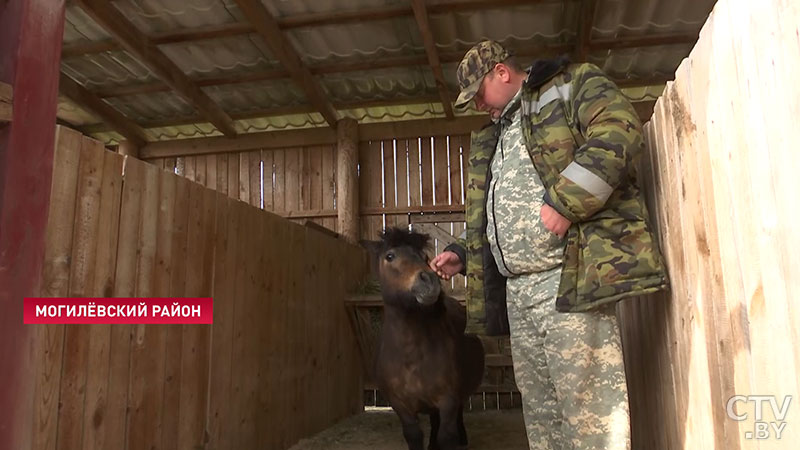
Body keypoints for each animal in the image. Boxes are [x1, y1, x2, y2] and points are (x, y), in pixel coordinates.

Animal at [364, 229, 488, 450]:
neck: (411, 355)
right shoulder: (400, 405)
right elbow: (414, 435)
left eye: (424, 257)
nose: (430, 280)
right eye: (390, 256)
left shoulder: (448, 401)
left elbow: (446, 436)